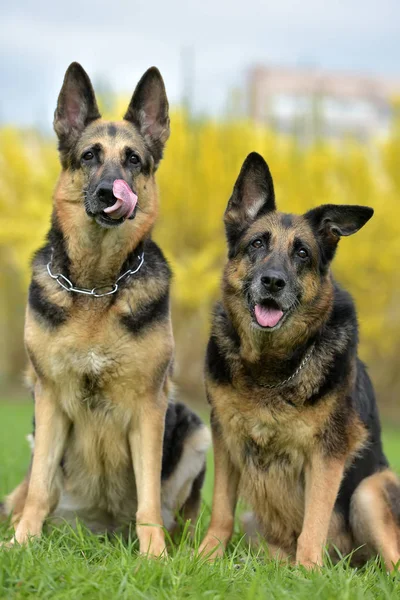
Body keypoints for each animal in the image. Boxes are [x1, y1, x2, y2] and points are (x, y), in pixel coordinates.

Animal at [0, 63, 209, 556]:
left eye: (133, 160)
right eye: (90, 155)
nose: (107, 194)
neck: (96, 286)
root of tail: (102, 528)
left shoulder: (149, 408)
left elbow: (148, 496)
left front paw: (154, 557)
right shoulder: (49, 402)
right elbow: (39, 489)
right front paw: (22, 542)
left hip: (195, 431)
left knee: (180, 514)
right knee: (30, 491)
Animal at [199, 152, 400, 568]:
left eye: (302, 252)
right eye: (258, 243)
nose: (273, 282)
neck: (271, 368)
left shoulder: (327, 455)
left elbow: (314, 524)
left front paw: (308, 572)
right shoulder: (225, 438)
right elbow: (222, 511)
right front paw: (204, 558)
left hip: (368, 492)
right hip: (255, 521)